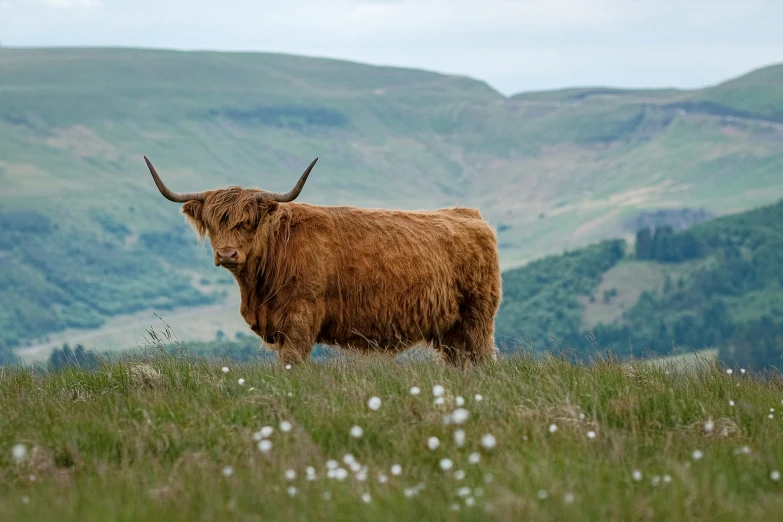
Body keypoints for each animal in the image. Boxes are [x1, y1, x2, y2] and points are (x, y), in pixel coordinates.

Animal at [144, 155, 506, 366]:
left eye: (247, 222)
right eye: (214, 222)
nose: (227, 254)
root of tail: (468, 214)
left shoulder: (301, 319)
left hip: (477, 317)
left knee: (484, 359)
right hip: (450, 330)